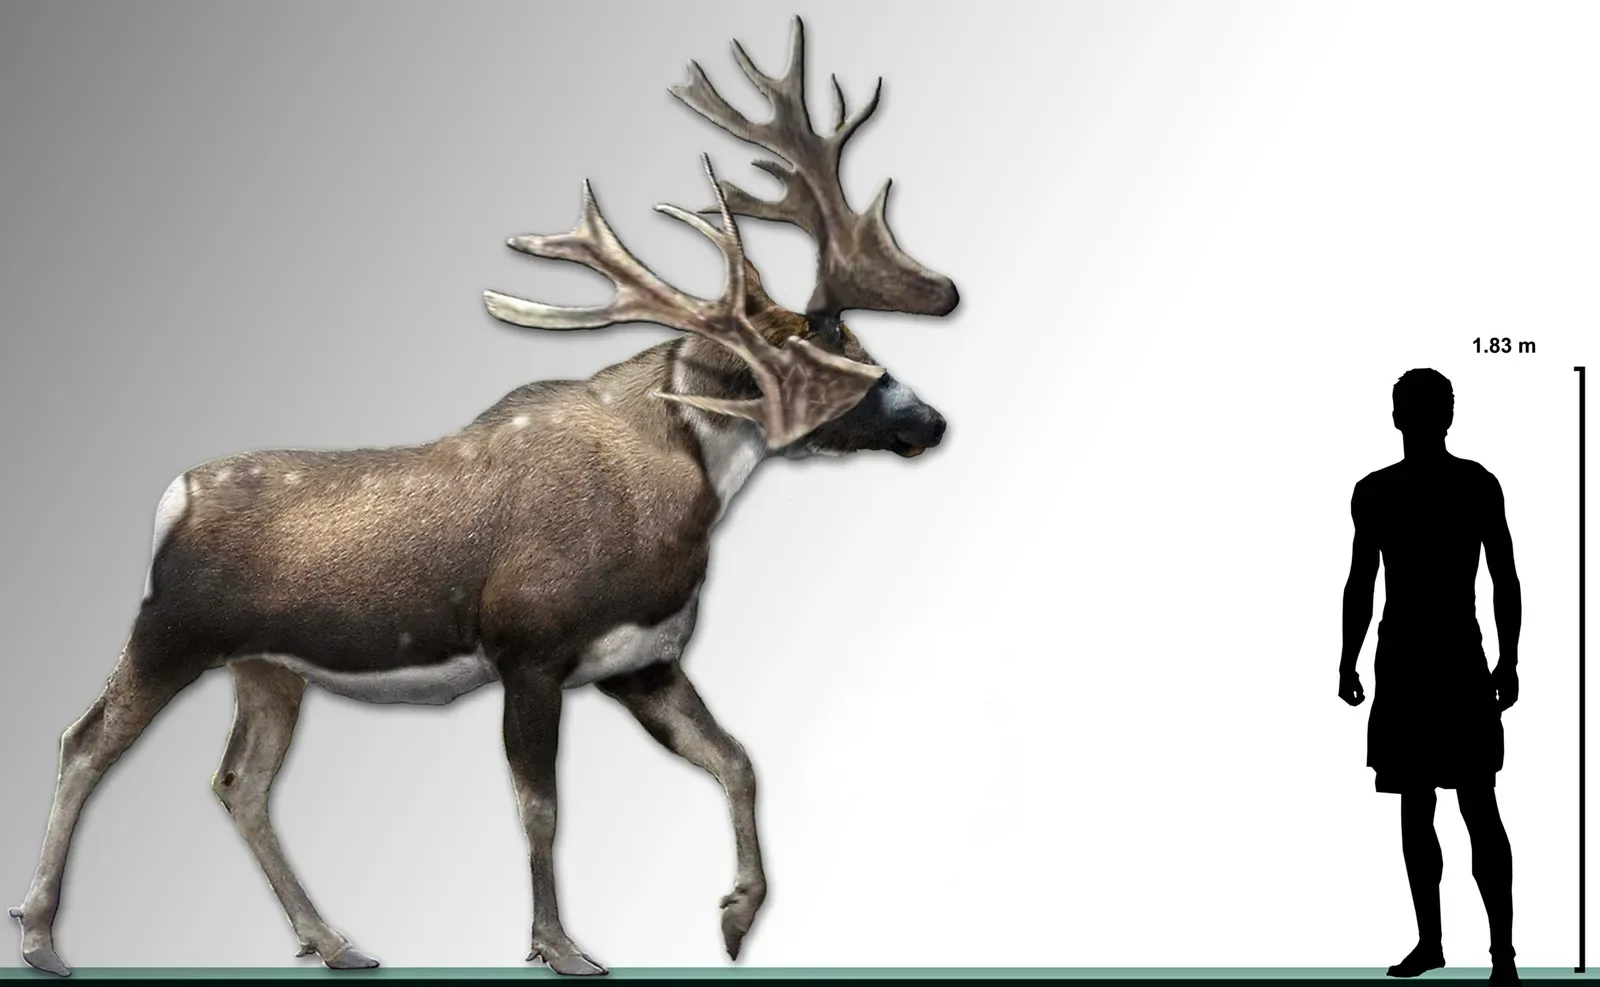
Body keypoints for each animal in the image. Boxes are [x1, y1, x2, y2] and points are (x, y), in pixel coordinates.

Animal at [10, 17, 957, 977]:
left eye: (856, 339)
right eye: (815, 358)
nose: (929, 419)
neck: (677, 511)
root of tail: (173, 498)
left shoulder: (643, 661)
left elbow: (737, 760)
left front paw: (734, 914)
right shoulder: (529, 647)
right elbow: (540, 807)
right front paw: (560, 944)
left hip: (267, 666)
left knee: (239, 779)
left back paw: (334, 939)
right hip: (172, 630)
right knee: (85, 740)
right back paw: (44, 936)